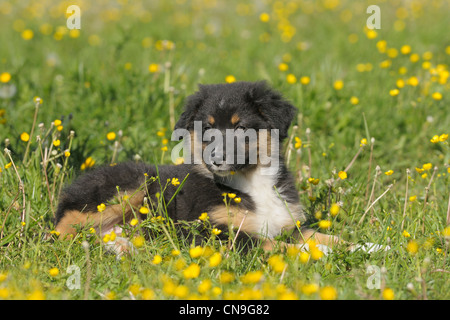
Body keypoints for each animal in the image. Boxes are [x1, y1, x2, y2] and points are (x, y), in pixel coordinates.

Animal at [53, 81, 342, 254]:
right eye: (207, 129)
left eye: (240, 128)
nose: (215, 158)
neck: (251, 181)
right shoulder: (212, 231)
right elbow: (271, 244)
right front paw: (318, 253)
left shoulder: (288, 223)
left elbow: (318, 235)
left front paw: (349, 247)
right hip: (128, 187)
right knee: (64, 226)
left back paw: (125, 245)